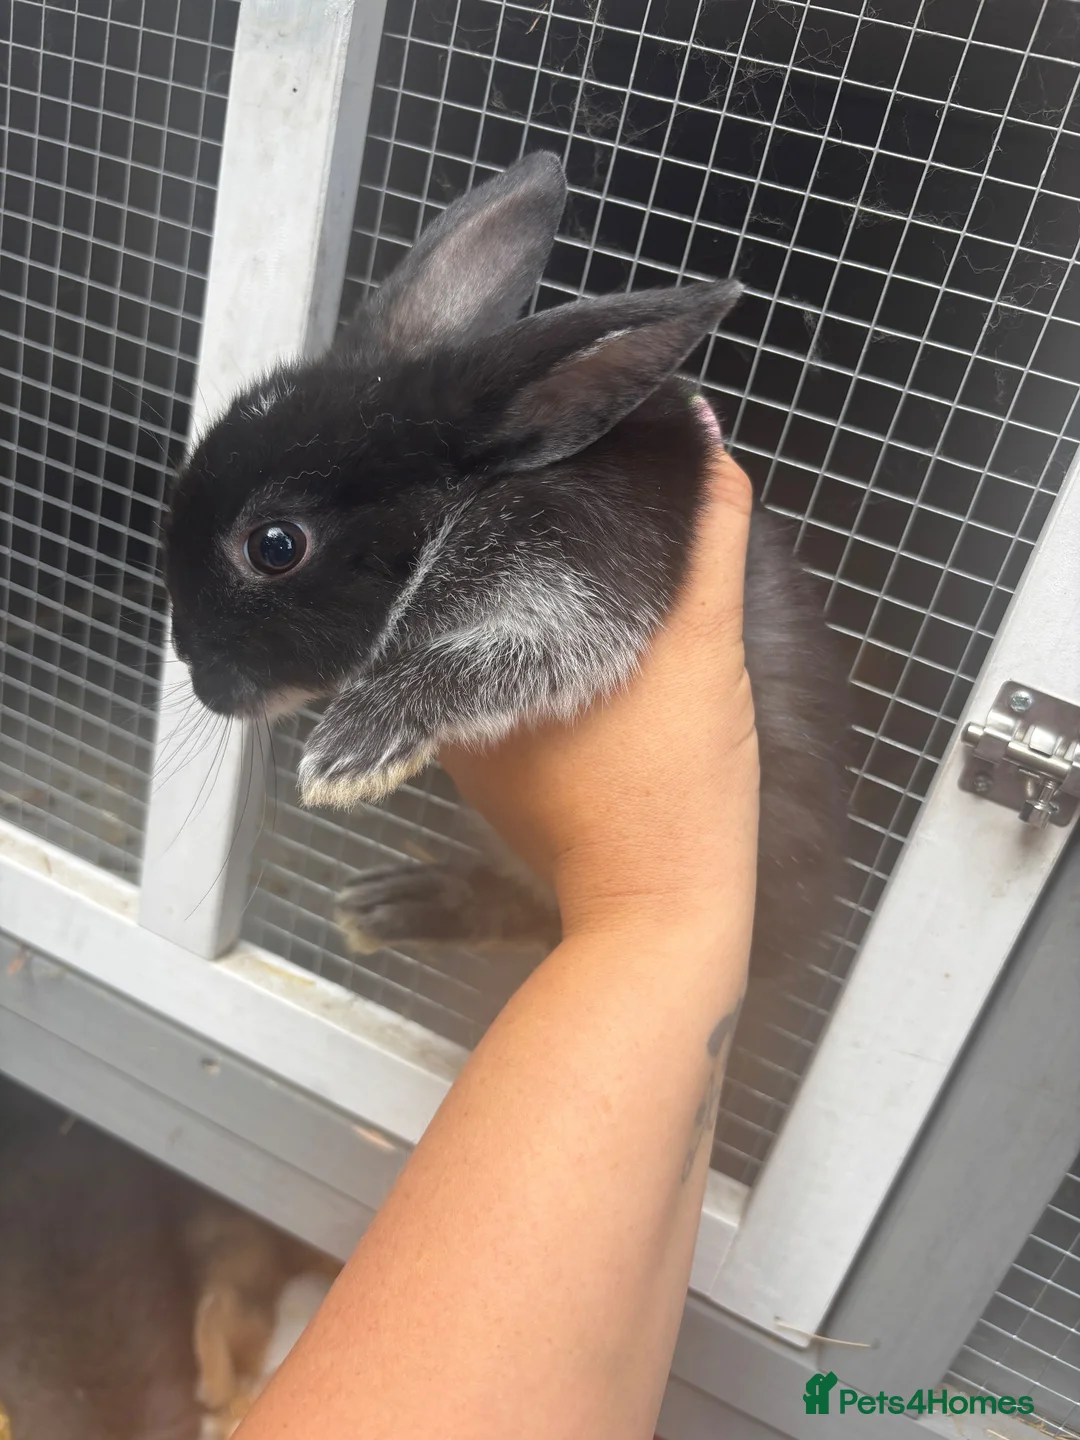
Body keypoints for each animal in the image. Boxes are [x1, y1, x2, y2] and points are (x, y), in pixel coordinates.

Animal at [164, 150, 848, 982]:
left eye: (274, 547)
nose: (204, 681)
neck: (466, 497)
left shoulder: (575, 579)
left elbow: (503, 661)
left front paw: (351, 751)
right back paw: (390, 905)